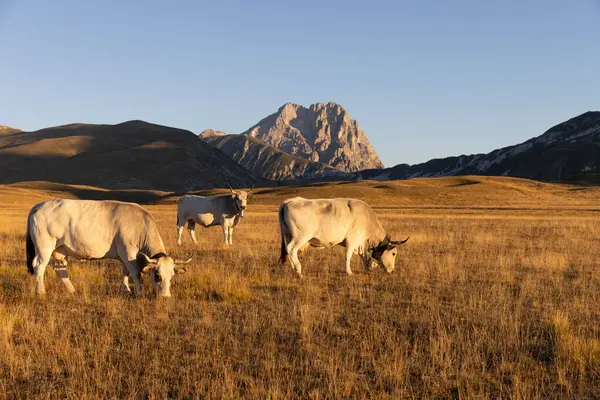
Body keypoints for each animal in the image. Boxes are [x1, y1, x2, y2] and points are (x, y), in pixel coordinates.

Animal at [25, 199, 190, 296]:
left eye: (172, 276)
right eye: (157, 276)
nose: (166, 296)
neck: (141, 225)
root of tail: (38, 206)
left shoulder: (124, 255)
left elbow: (125, 272)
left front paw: (125, 288)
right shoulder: (129, 252)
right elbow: (135, 273)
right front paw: (138, 292)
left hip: (60, 249)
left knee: (60, 268)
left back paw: (72, 290)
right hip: (44, 246)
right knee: (38, 266)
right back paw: (41, 292)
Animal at [276, 196, 408, 276]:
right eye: (394, 253)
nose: (392, 270)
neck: (367, 220)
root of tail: (290, 201)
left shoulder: (360, 243)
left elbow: (363, 255)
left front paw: (369, 266)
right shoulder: (352, 240)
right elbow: (348, 256)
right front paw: (349, 271)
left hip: (287, 235)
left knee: (288, 250)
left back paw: (293, 268)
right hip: (301, 236)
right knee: (291, 249)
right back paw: (299, 271)